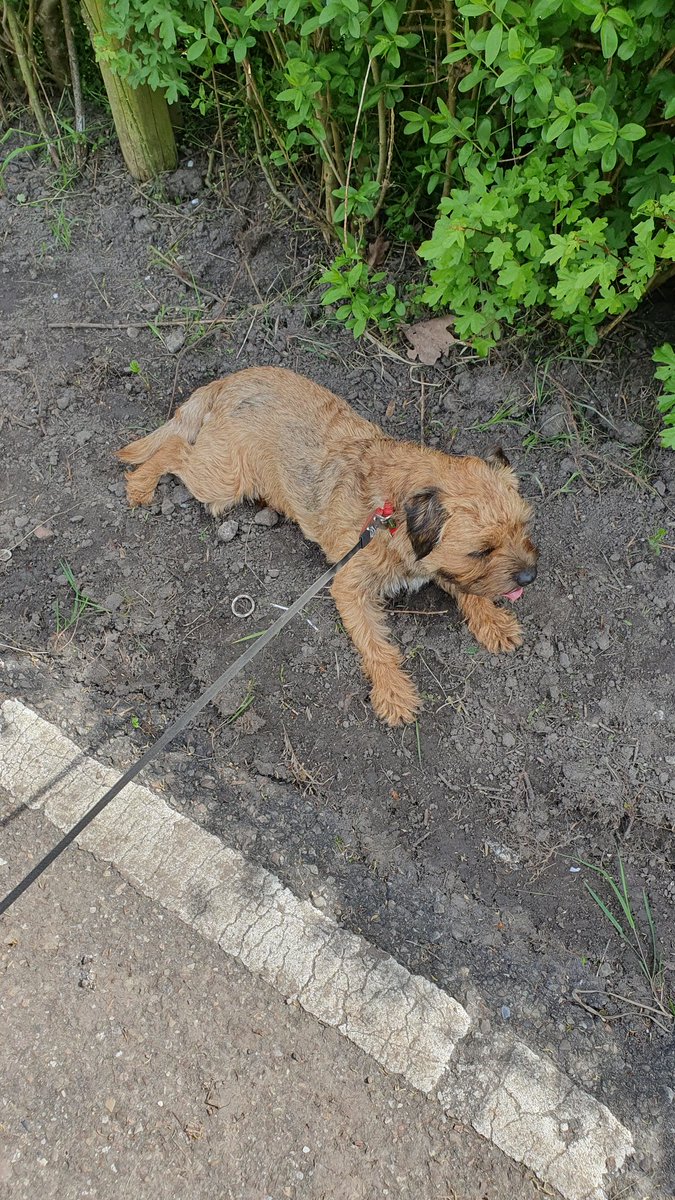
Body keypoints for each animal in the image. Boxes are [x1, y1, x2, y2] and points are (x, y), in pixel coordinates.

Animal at [117, 362, 535, 720]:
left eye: (523, 527)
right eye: (481, 551)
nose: (529, 577)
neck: (393, 514)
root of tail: (227, 382)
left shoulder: (434, 560)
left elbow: (467, 586)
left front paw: (492, 620)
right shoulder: (350, 586)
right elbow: (376, 644)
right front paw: (393, 692)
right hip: (222, 480)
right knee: (175, 450)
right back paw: (141, 484)